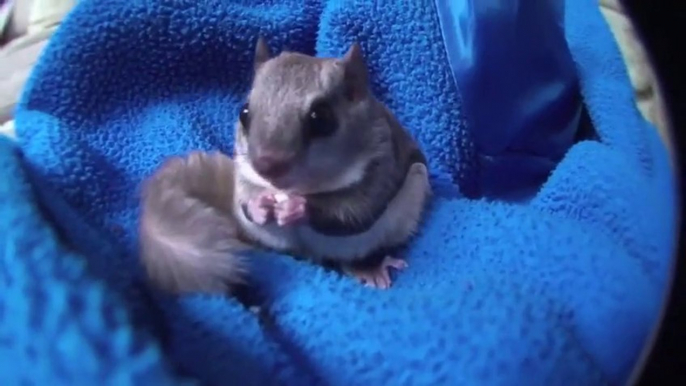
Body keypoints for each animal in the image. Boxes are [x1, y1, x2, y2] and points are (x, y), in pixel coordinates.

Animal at [137, 37, 432, 294]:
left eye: (321, 117)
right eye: (244, 113)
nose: (266, 164)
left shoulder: (380, 168)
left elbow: (355, 214)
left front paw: (299, 208)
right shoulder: (245, 178)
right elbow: (248, 202)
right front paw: (259, 206)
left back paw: (370, 267)